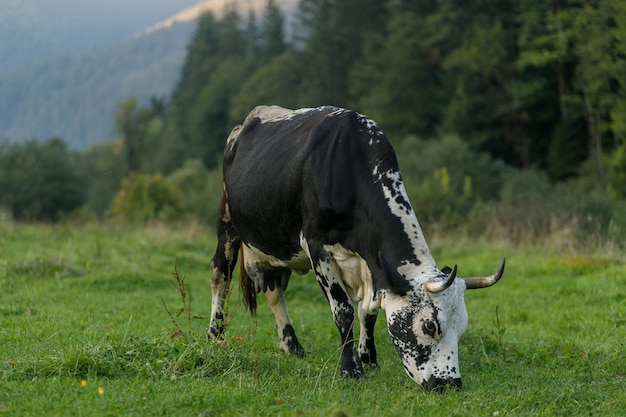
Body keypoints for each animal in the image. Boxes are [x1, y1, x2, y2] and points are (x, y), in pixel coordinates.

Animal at [208, 104, 502, 390]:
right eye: (430, 326)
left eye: (461, 328)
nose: (450, 384)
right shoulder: (316, 246)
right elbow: (344, 311)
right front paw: (351, 369)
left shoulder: (372, 262)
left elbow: (368, 313)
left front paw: (368, 359)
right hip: (227, 223)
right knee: (220, 275)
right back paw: (216, 336)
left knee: (274, 290)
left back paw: (291, 345)